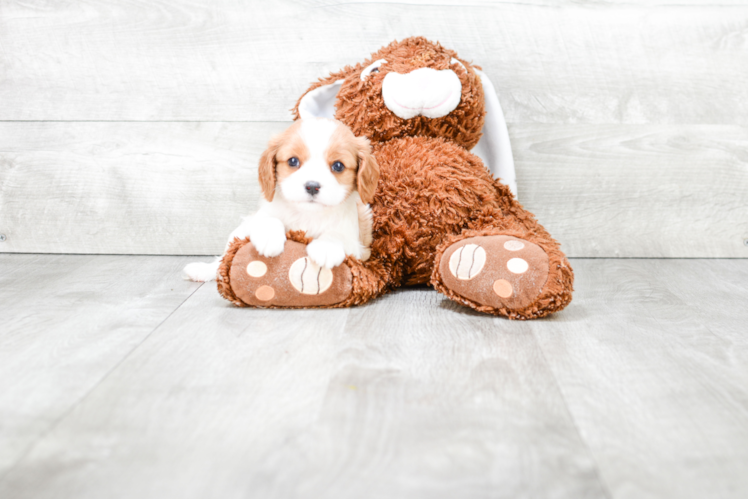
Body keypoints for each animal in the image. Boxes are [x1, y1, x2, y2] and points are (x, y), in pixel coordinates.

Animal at [182, 117, 380, 282]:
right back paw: (202, 270)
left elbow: (338, 235)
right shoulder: (260, 215)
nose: (312, 186)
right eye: (293, 161)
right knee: (223, 259)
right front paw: (269, 237)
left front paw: (326, 247)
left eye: (338, 166)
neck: (307, 215)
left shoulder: (358, 246)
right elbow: (269, 219)